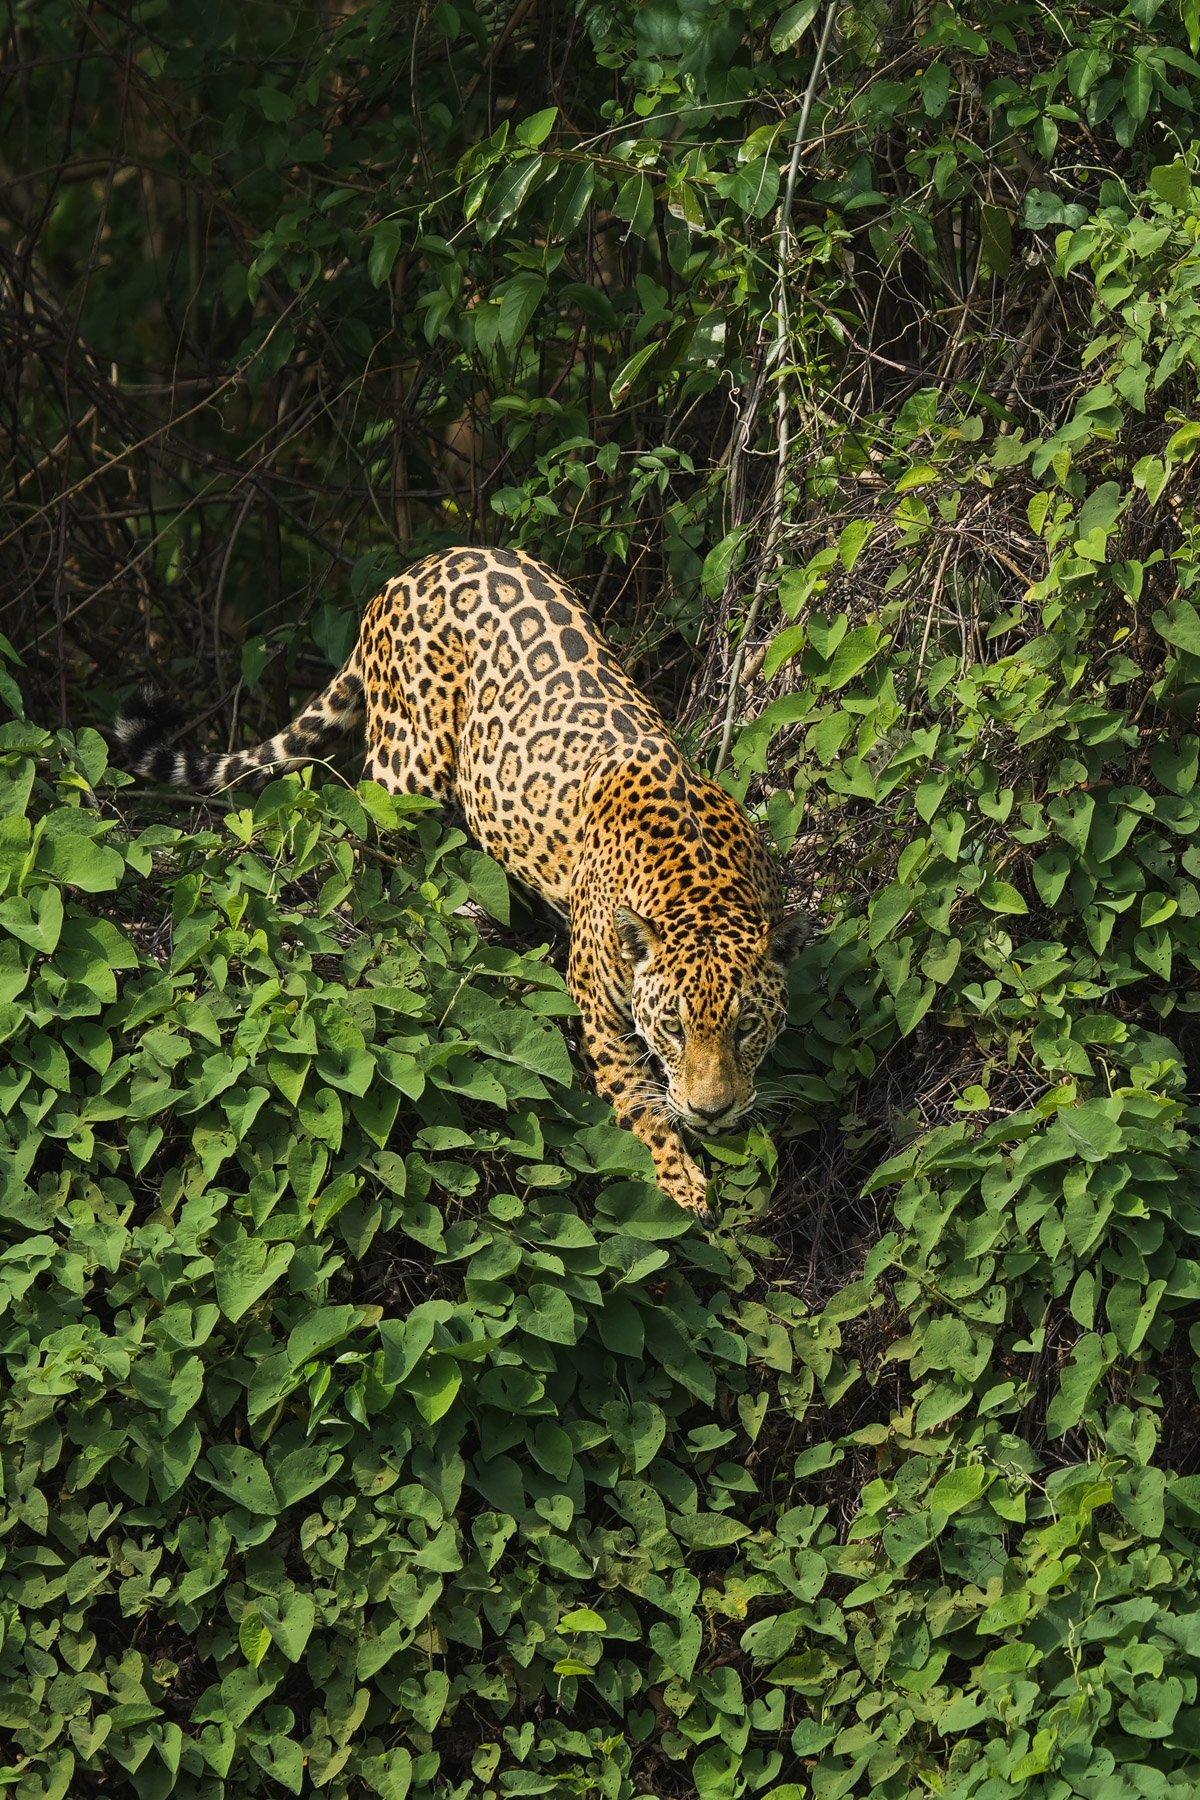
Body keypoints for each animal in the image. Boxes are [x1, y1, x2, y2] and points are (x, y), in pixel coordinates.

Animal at [114, 545, 806, 1219]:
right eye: (673, 1029)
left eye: (746, 1027)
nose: (711, 1112)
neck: (699, 881)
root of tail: (412, 569)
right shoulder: (598, 1007)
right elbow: (637, 1101)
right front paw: (681, 1182)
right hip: (406, 767)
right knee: (366, 835)